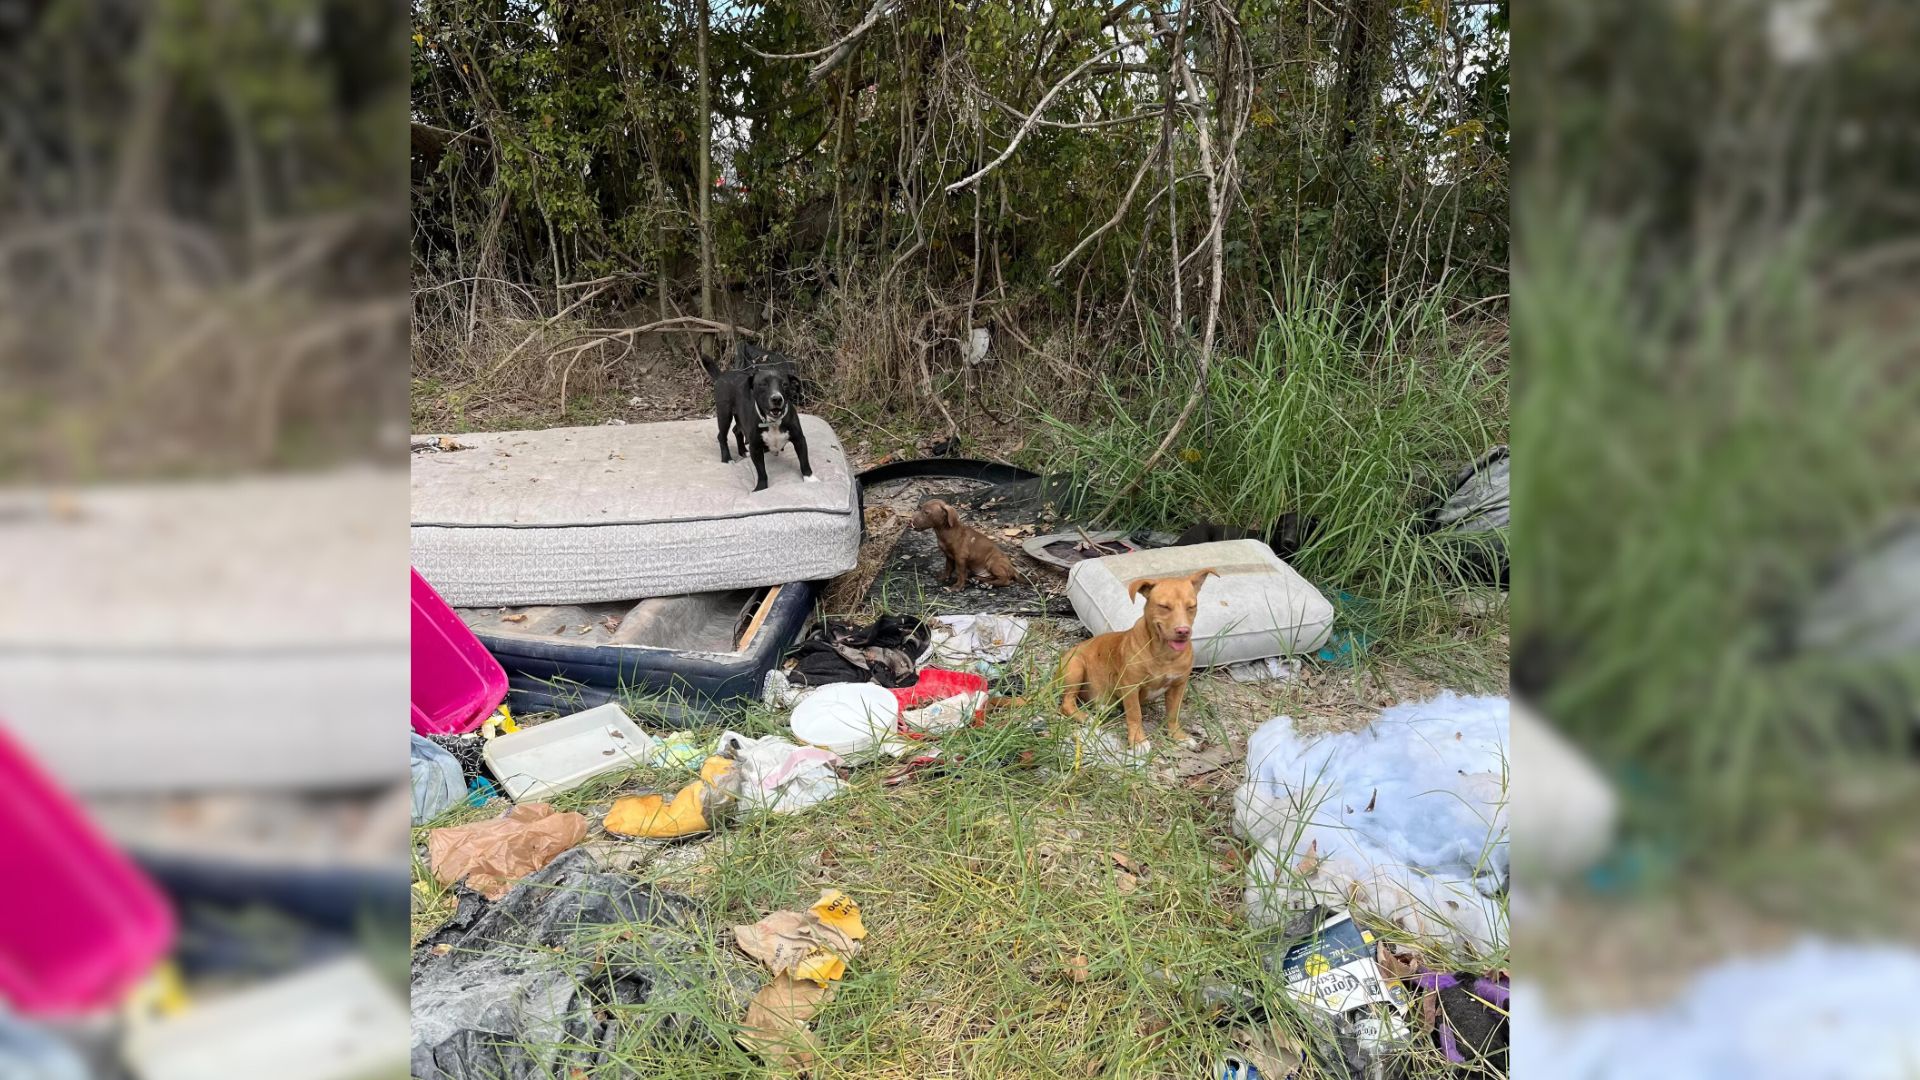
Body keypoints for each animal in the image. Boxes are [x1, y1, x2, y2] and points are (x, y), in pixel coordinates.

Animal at [702, 338, 814, 490]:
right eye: (762, 384)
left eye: (784, 384)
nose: (777, 398)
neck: (773, 422)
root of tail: (722, 375)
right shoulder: (755, 447)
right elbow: (761, 471)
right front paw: (761, 487)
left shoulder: (799, 439)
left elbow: (804, 461)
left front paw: (811, 479)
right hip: (724, 413)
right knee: (722, 436)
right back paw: (727, 458)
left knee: (736, 430)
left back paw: (743, 451)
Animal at [1067, 568, 1213, 745]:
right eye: (1164, 606)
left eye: (1192, 606)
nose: (1183, 631)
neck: (1164, 653)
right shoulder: (1131, 686)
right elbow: (1135, 714)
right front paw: (1138, 741)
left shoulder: (1178, 685)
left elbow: (1173, 714)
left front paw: (1178, 735)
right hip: (1075, 668)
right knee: (1067, 702)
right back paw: (1085, 717)